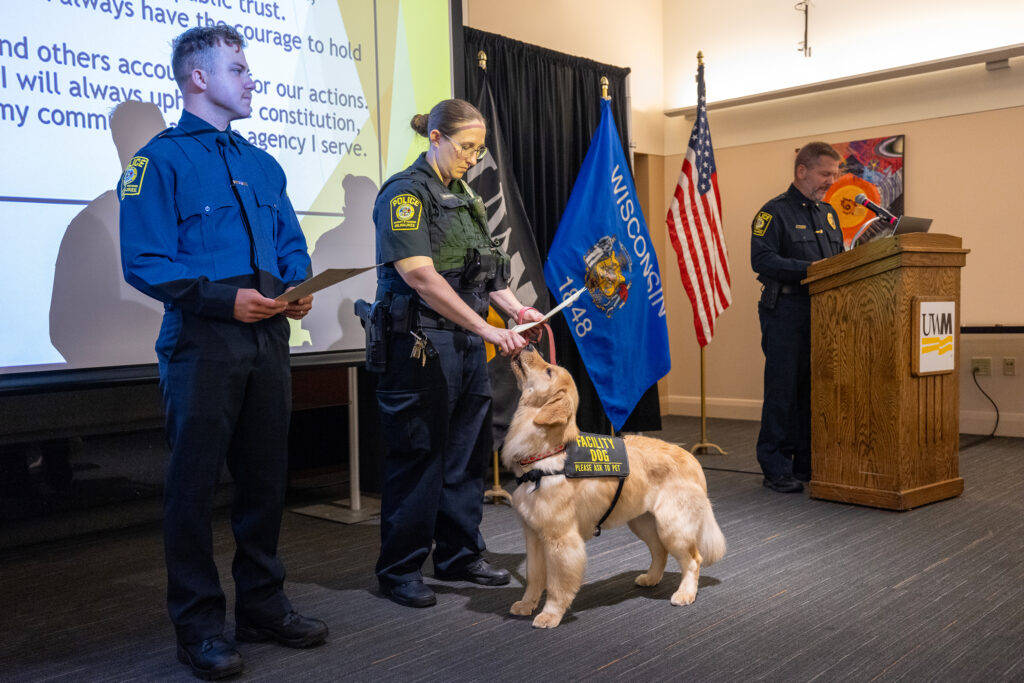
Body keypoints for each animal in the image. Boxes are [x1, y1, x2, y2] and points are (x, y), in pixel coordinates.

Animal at [499, 350, 724, 626]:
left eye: (549, 370)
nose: (527, 346)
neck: (545, 455)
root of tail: (692, 459)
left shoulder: (561, 539)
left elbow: (557, 584)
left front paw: (550, 614)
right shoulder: (532, 535)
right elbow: (533, 577)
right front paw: (527, 604)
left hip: (673, 525)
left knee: (693, 559)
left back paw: (684, 594)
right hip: (642, 521)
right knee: (660, 551)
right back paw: (650, 578)